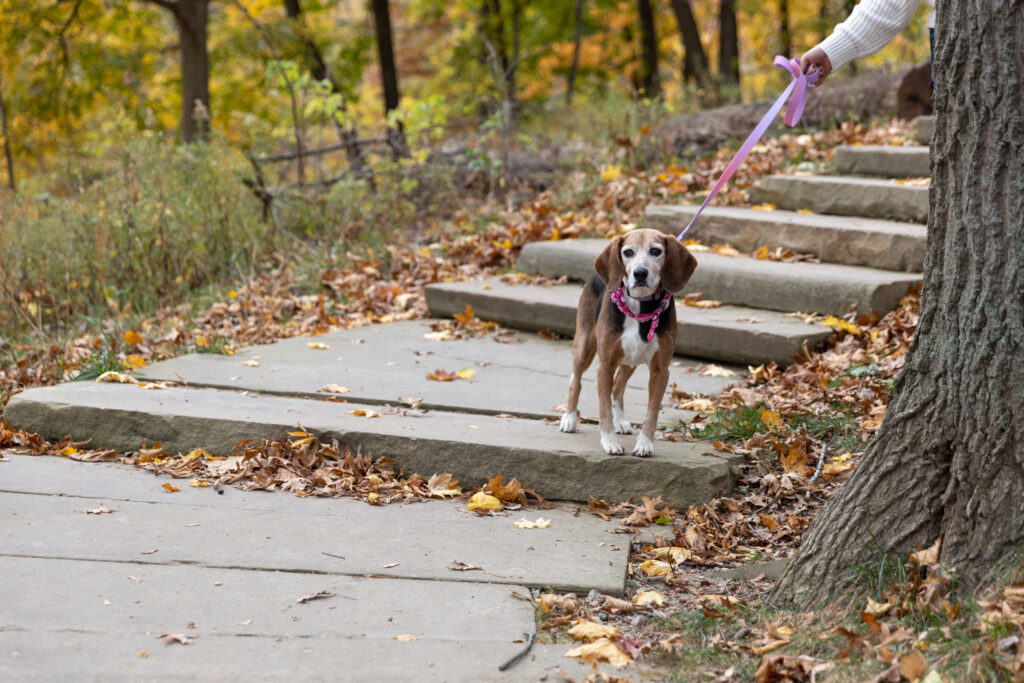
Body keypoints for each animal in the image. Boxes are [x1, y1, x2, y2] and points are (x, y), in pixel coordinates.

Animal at [561, 229, 696, 458]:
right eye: (628, 252)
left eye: (656, 251)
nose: (640, 273)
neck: (640, 308)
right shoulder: (604, 365)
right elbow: (604, 407)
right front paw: (609, 442)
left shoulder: (661, 370)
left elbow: (652, 412)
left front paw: (645, 444)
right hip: (585, 346)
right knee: (575, 381)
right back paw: (569, 418)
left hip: (629, 360)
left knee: (617, 387)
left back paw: (621, 421)